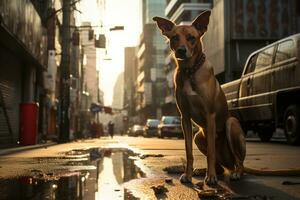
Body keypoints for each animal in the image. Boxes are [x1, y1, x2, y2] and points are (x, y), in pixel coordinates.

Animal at [155, 10, 246, 184]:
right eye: (174, 37)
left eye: (191, 37)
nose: (181, 50)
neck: (190, 71)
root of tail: (229, 163)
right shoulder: (185, 118)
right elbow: (188, 151)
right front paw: (188, 175)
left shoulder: (210, 115)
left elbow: (211, 152)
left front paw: (210, 177)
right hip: (198, 136)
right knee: (220, 166)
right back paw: (203, 171)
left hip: (231, 124)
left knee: (239, 161)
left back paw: (235, 173)